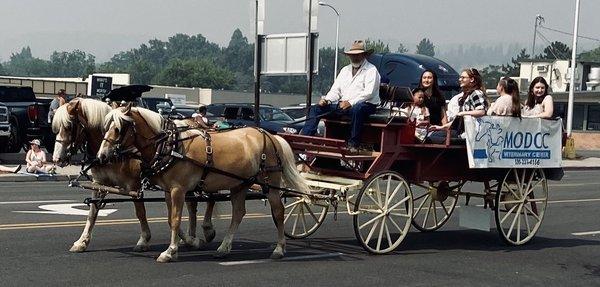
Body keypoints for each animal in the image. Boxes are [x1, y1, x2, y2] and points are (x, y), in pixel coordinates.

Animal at [51, 100, 216, 253]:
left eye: (69, 126)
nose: (56, 158)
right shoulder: (99, 183)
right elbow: (92, 213)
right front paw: (82, 241)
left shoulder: (134, 185)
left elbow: (141, 212)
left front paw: (144, 239)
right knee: (192, 205)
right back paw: (191, 235)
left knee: (210, 198)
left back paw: (207, 229)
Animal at [98, 106, 310, 264]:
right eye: (105, 127)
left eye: (118, 129)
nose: (102, 156)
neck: (171, 145)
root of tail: (272, 136)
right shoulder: (168, 191)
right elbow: (171, 220)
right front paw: (179, 246)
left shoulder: (178, 190)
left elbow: (176, 219)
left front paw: (170, 251)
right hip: (240, 184)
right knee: (238, 213)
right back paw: (224, 248)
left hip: (271, 183)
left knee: (278, 212)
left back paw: (279, 249)